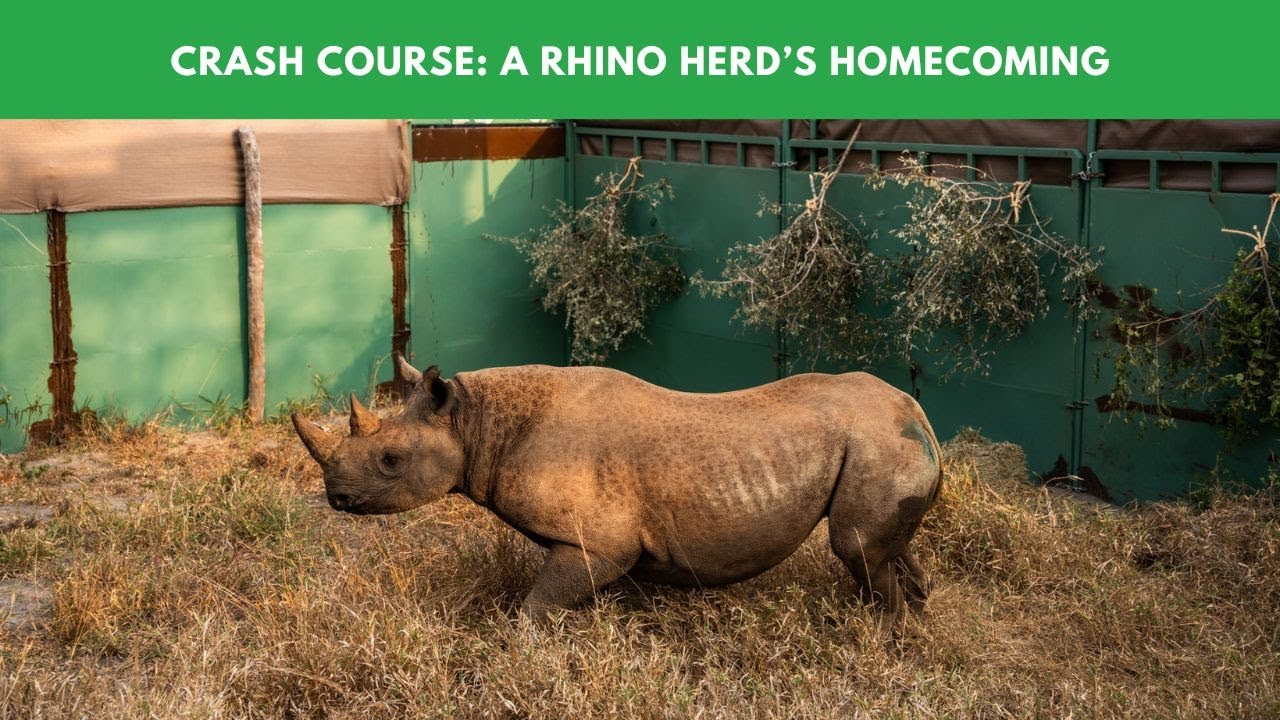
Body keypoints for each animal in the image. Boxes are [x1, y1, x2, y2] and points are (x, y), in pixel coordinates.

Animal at [292, 356, 942, 632]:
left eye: (390, 461)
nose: (336, 499)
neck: (476, 423)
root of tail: (920, 414)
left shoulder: (597, 544)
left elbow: (536, 608)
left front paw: (522, 646)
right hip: (883, 444)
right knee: (882, 547)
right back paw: (912, 615)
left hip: (876, 443)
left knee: (855, 547)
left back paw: (880, 638)